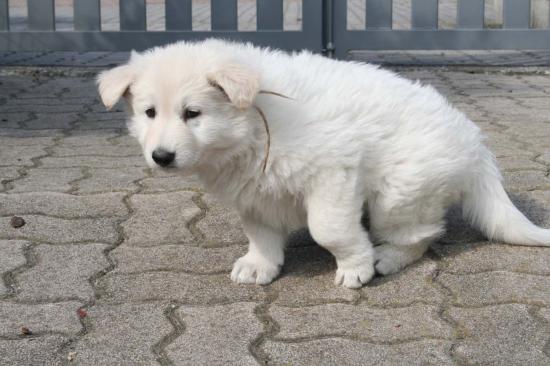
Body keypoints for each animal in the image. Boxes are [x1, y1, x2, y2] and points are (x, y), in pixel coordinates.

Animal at [99, 39, 550, 288]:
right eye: (149, 113)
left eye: (193, 114)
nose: (161, 157)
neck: (257, 122)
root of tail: (474, 143)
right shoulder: (253, 191)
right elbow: (260, 233)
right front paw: (261, 264)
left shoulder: (334, 173)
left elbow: (328, 229)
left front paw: (355, 267)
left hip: (399, 192)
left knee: (422, 234)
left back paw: (387, 257)